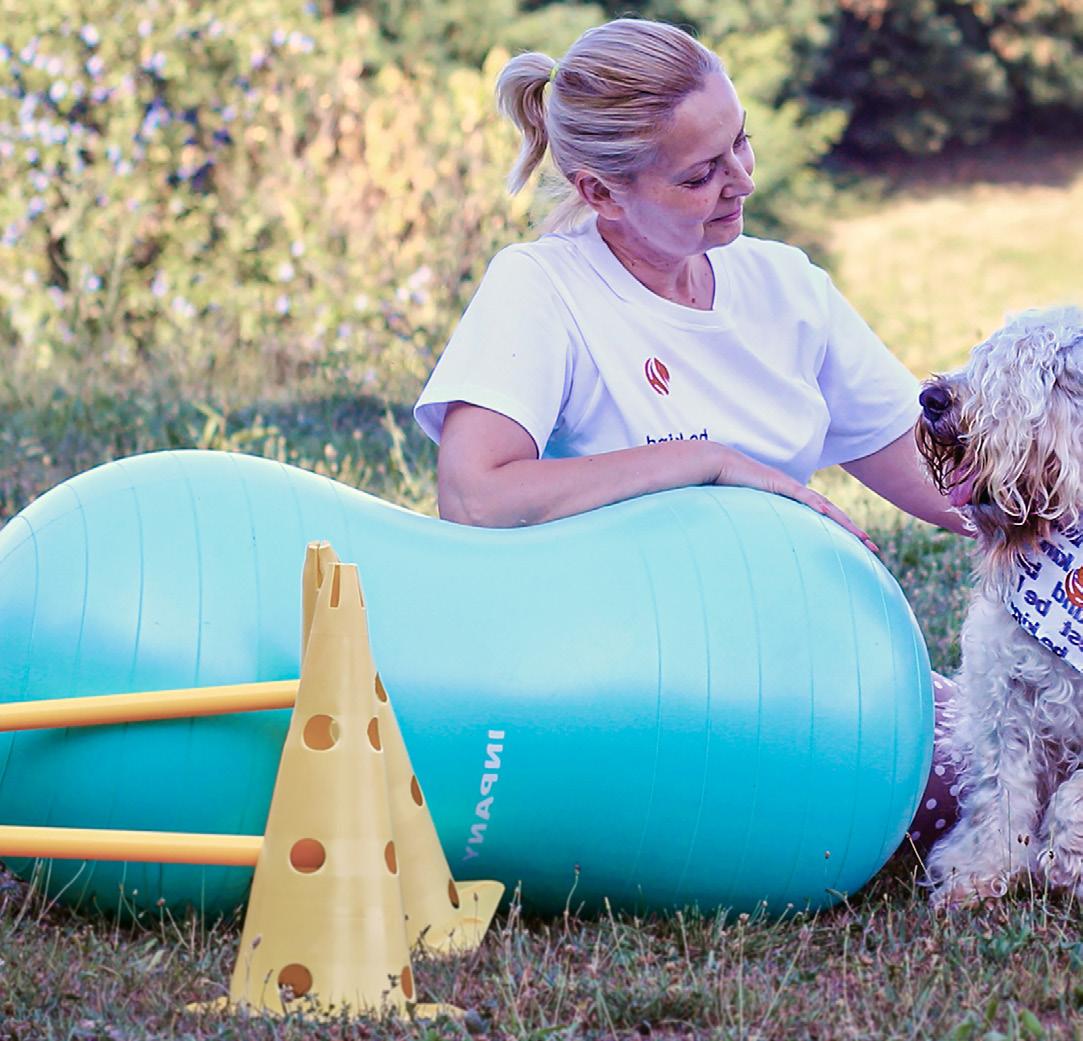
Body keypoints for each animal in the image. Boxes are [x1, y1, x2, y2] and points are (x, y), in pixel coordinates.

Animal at [916, 304, 1083, 905]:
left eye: (1048, 377)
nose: (932, 398)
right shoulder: (1004, 699)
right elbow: (998, 794)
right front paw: (978, 872)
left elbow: (1074, 798)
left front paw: (1064, 862)